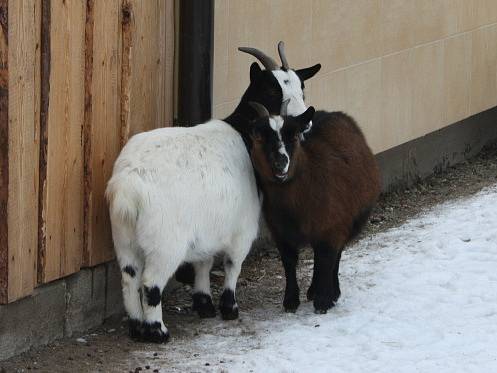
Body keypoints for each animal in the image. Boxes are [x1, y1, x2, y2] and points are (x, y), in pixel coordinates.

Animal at [248, 103, 380, 312]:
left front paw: (324, 300)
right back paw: (313, 290)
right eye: (259, 137)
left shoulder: (331, 226)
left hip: (347, 221)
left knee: (334, 257)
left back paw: (330, 291)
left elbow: (327, 259)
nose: (281, 163)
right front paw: (291, 300)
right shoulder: (281, 232)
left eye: (294, 137)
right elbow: (289, 262)